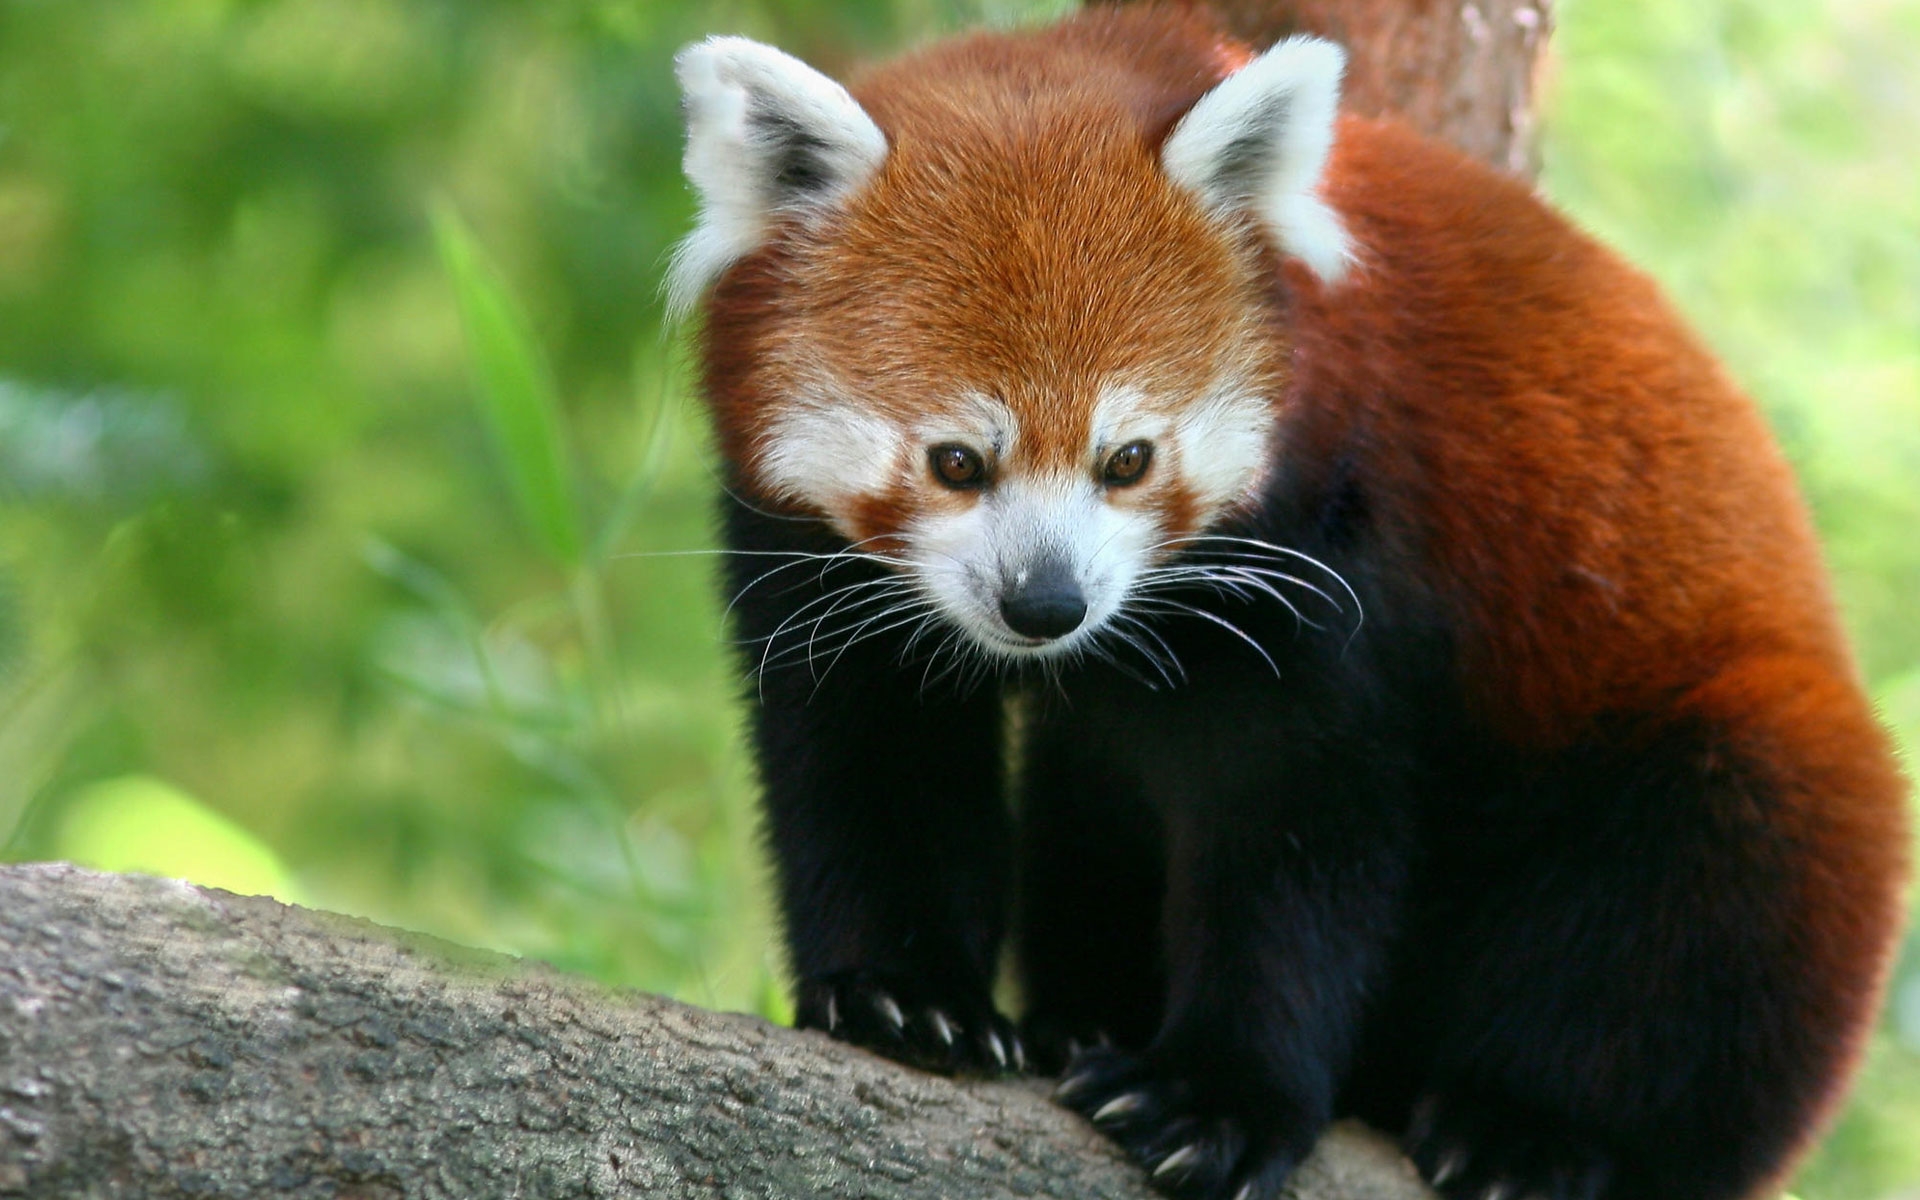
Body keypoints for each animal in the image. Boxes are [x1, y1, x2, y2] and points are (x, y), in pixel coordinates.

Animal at [664, 4, 1904, 1190]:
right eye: (956, 462)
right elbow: (867, 747)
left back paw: (1531, 1132)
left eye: (1129, 460)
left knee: (1701, 887)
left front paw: (1220, 1098)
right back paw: (1080, 1019)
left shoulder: (1334, 555)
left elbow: (1294, 827)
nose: (1047, 605)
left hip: (1732, 756)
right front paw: (906, 997)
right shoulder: (813, 557)